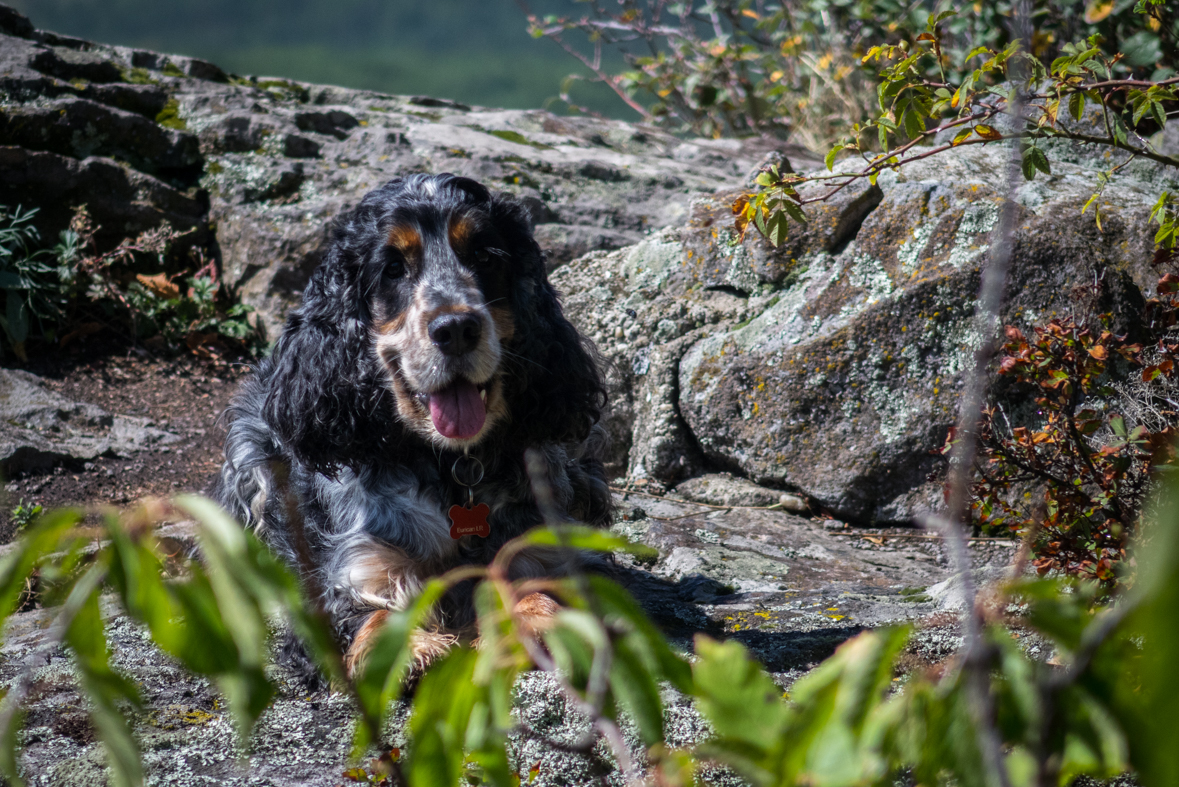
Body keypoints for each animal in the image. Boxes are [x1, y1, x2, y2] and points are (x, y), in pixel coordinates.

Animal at [215, 173, 613, 678]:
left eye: (485, 256)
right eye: (392, 269)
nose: (456, 328)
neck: (451, 466)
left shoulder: (546, 549)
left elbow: (538, 586)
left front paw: (539, 625)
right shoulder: (358, 567)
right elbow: (371, 610)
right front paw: (406, 650)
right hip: (250, 458)